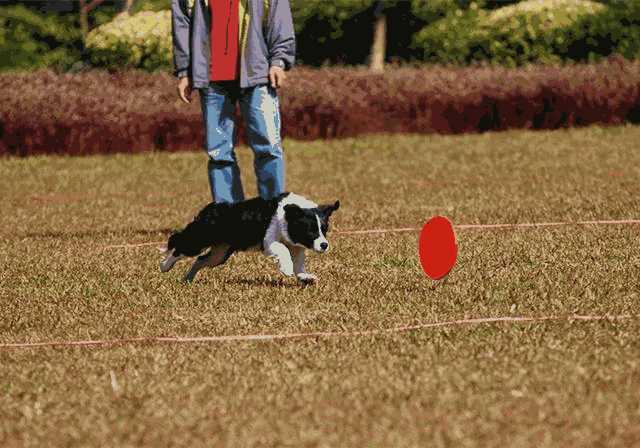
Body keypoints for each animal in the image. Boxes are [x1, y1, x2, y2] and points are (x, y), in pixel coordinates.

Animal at [160, 192, 340, 284]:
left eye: (324, 230)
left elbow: (299, 264)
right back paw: (164, 266)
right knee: (179, 246)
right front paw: (286, 269)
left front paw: (305, 277)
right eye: (311, 231)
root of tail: (208, 209)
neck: (289, 216)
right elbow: (283, 251)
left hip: (220, 253)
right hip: (200, 238)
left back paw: (188, 279)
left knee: (200, 259)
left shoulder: (296, 246)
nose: (324, 245)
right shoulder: (269, 240)